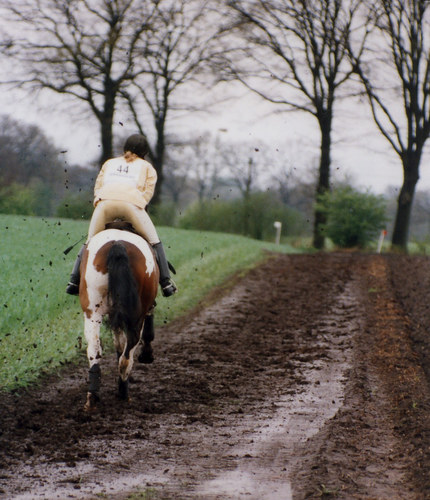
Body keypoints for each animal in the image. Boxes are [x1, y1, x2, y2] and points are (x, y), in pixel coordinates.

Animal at [78, 229, 159, 412]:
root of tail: (117, 244)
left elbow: (118, 344)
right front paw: (147, 354)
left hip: (92, 312)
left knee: (95, 349)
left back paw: (93, 398)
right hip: (136, 315)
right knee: (127, 355)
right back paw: (123, 393)